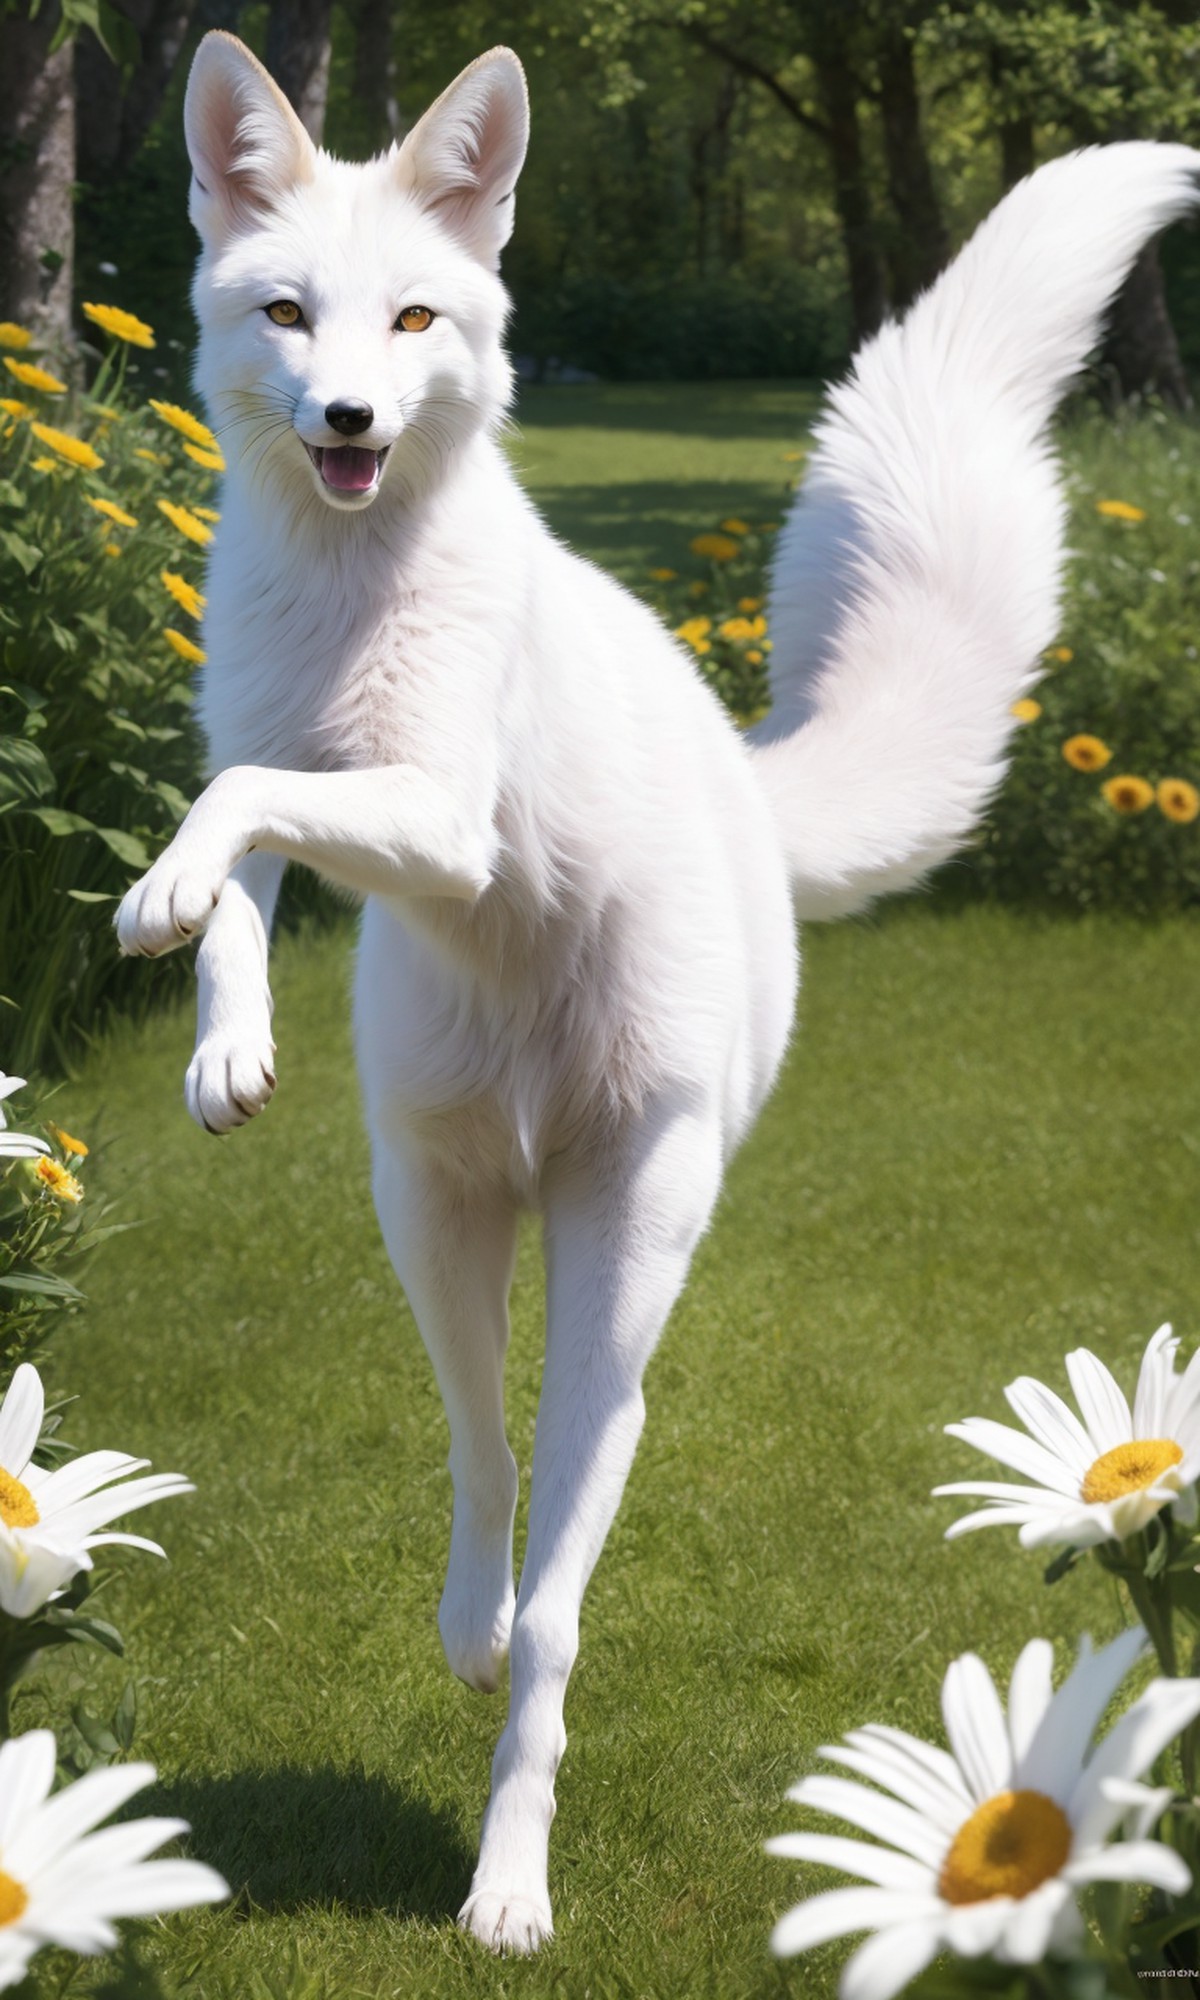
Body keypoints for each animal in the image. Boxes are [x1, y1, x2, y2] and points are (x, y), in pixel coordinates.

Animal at [113, 27, 1199, 1953]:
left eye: (412, 320)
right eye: (288, 312)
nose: (348, 424)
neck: (349, 601)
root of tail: (755, 797)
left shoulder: (442, 817)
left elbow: (237, 807)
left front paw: (159, 894)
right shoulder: (302, 776)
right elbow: (240, 861)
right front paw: (222, 1040)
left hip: (629, 1257)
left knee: (559, 1593)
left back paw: (510, 1882)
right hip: (434, 1206)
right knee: (484, 1462)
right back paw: (467, 1625)